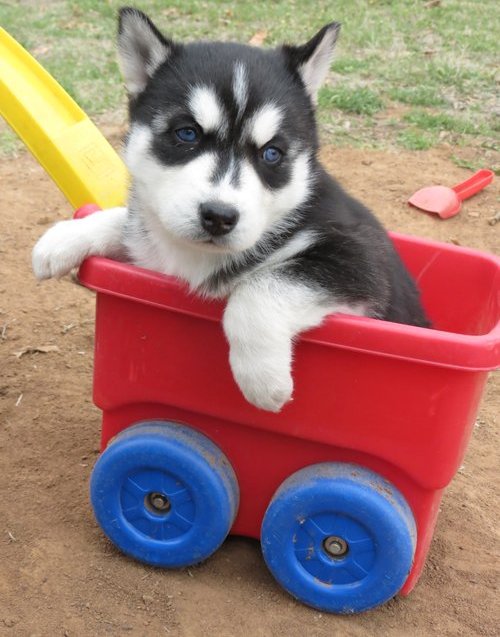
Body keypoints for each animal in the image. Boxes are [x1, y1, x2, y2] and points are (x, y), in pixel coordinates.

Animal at [32, 7, 430, 412]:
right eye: (187, 133)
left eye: (272, 153)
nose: (219, 217)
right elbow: (130, 219)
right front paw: (65, 237)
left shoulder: (359, 265)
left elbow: (260, 287)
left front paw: (263, 378)